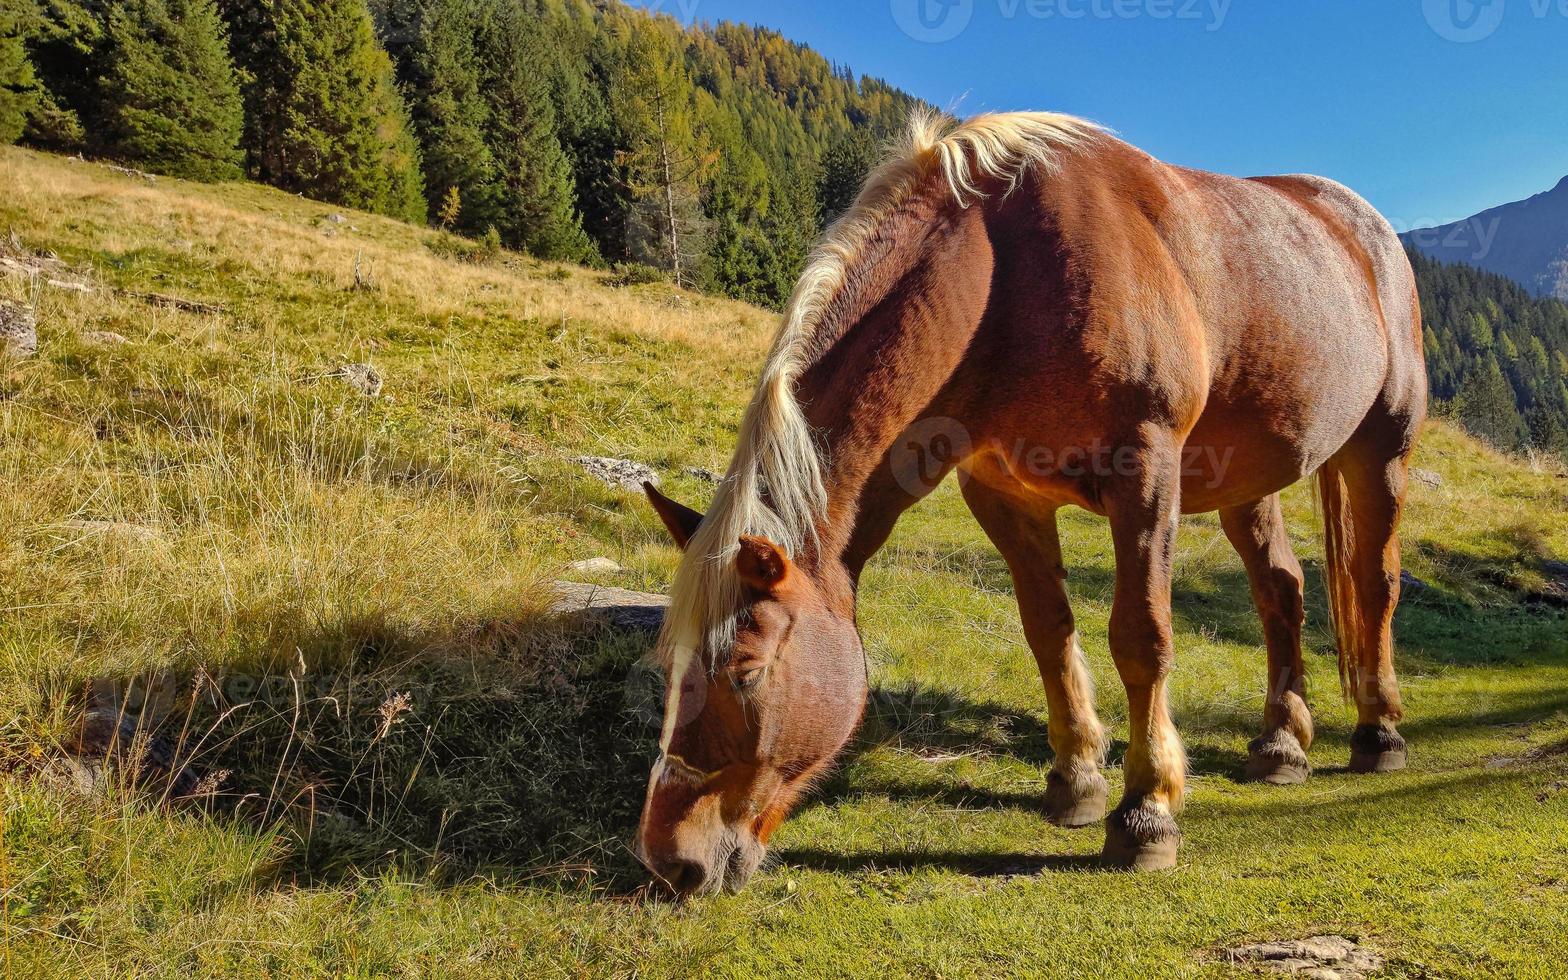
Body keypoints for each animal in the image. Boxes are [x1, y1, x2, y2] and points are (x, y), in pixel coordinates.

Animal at [636, 108, 1436, 896]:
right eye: (669, 668)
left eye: (745, 672)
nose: (670, 859)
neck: (1007, 278)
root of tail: (1364, 226)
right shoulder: (1004, 496)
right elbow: (1048, 632)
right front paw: (1077, 780)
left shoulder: (1144, 471)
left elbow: (1141, 637)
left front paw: (1145, 813)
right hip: (1251, 478)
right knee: (1281, 591)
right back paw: (1280, 743)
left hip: (1381, 452)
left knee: (1375, 584)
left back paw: (1378, 732)